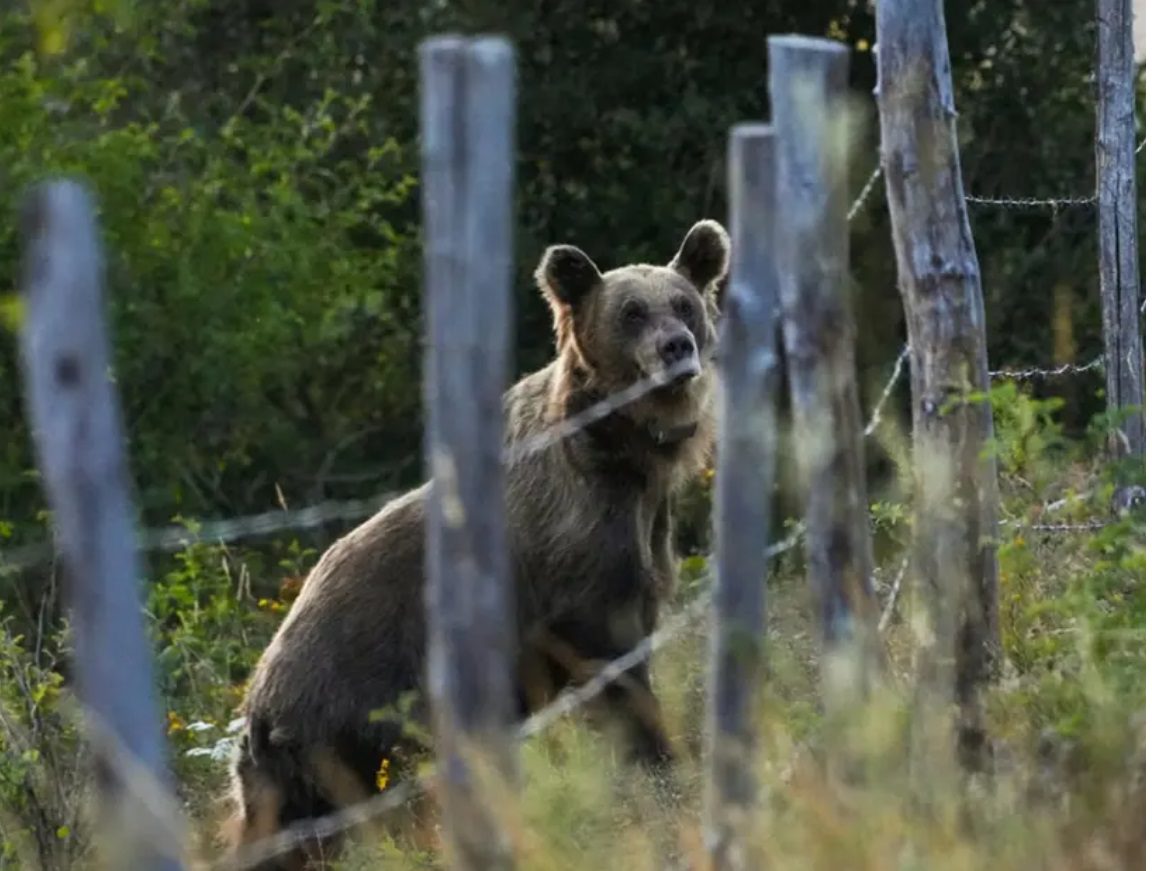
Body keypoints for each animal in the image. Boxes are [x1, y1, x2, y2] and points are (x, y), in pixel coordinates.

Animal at [223, 219, 730, 868]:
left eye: (684, 303)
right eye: (632, 312)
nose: (676, 348)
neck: (624, 457)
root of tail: (254, 703)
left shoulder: (641, 533)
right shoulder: (576, 552)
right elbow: (611, 659)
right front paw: (658, 753)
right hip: (343, 722)